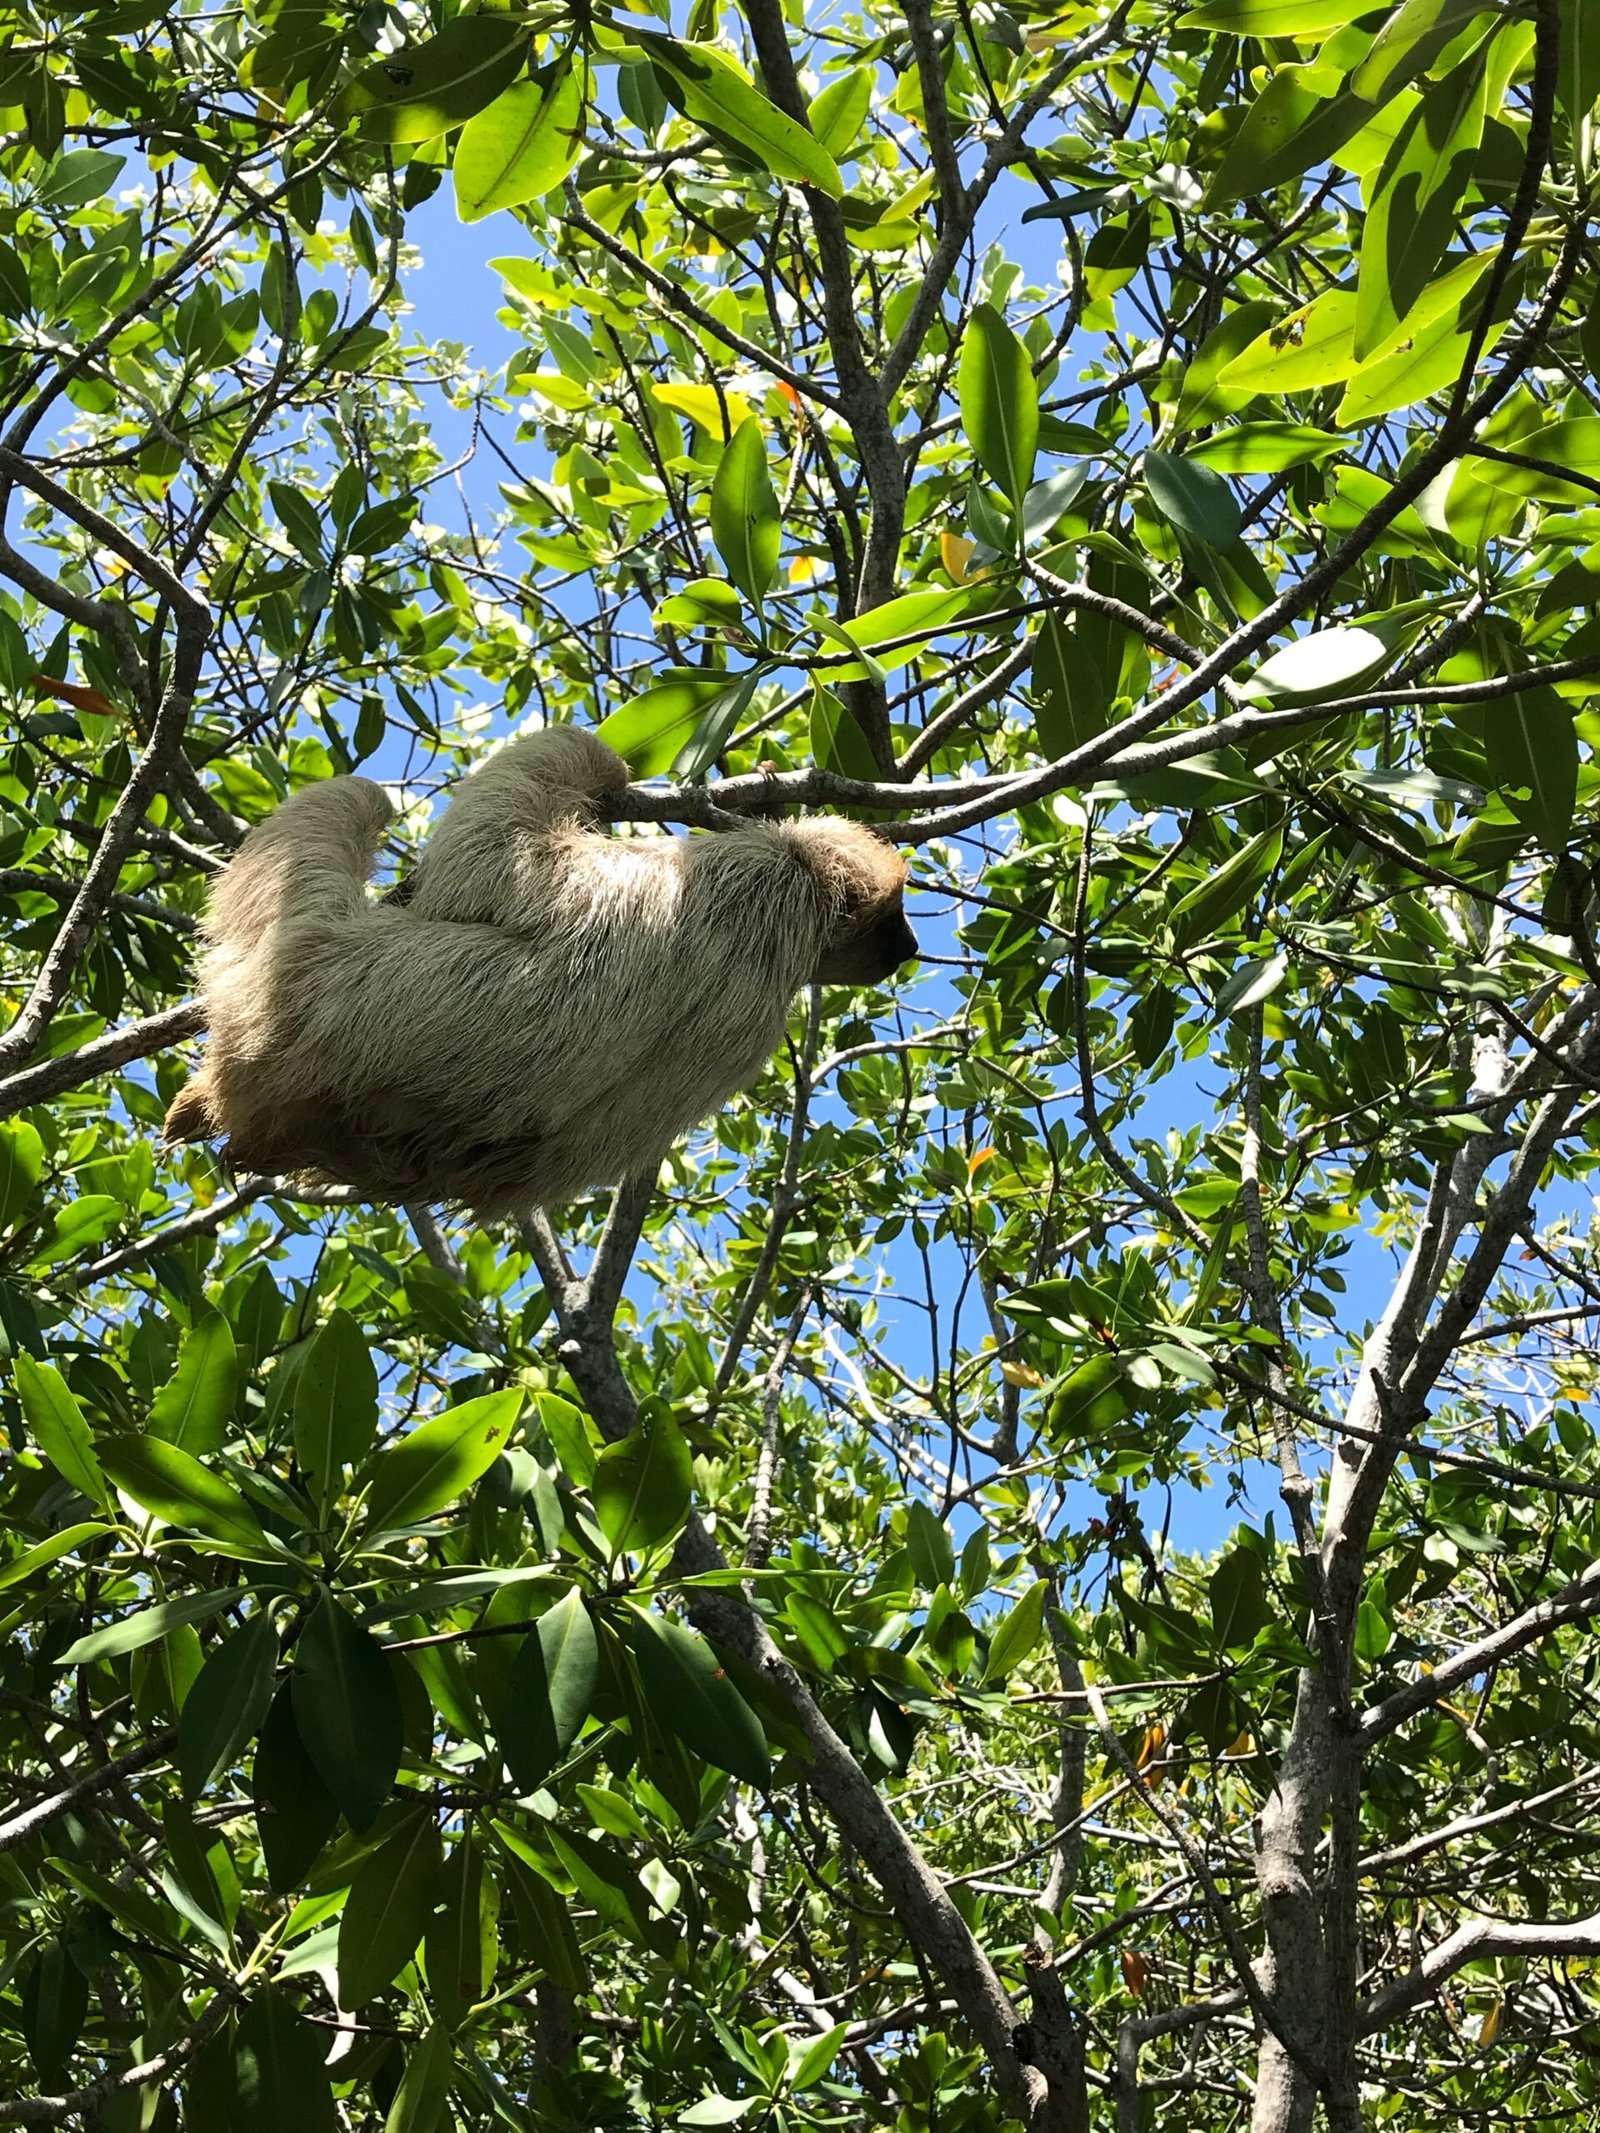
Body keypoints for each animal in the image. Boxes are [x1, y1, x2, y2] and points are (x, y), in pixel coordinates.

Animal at [162, 726, 917, 1217]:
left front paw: (603, 762)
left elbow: (489, 858)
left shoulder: (698, 878)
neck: (792, 914)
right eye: (895, 918)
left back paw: (194, 1105)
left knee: (346, 806)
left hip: (287, 980)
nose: (908, 948)